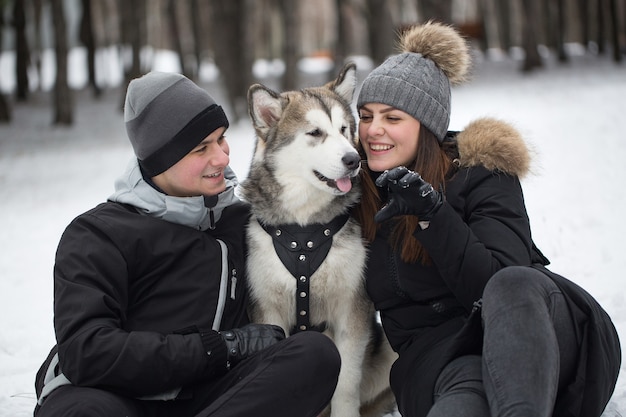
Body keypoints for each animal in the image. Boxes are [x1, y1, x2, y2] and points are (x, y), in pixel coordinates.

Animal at [239, 62, 394, 416]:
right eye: (315, 133)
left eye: (344, 129)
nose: (353, 160)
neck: (304, 230)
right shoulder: (268, 310)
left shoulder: (352, 309)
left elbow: (346, 385)